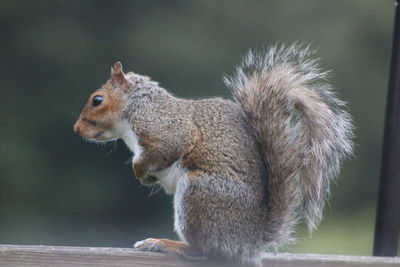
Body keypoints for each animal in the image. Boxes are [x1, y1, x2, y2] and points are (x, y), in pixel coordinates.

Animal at [72, 44, 354, 266]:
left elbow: (161, 150)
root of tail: (250, 240)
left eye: (97, 100)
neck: (136, 106)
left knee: (205, 250)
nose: (76, 129)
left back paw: (169, 244)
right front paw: (147, 178)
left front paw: (139, 171)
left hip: (200, 192)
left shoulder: (164, 128)